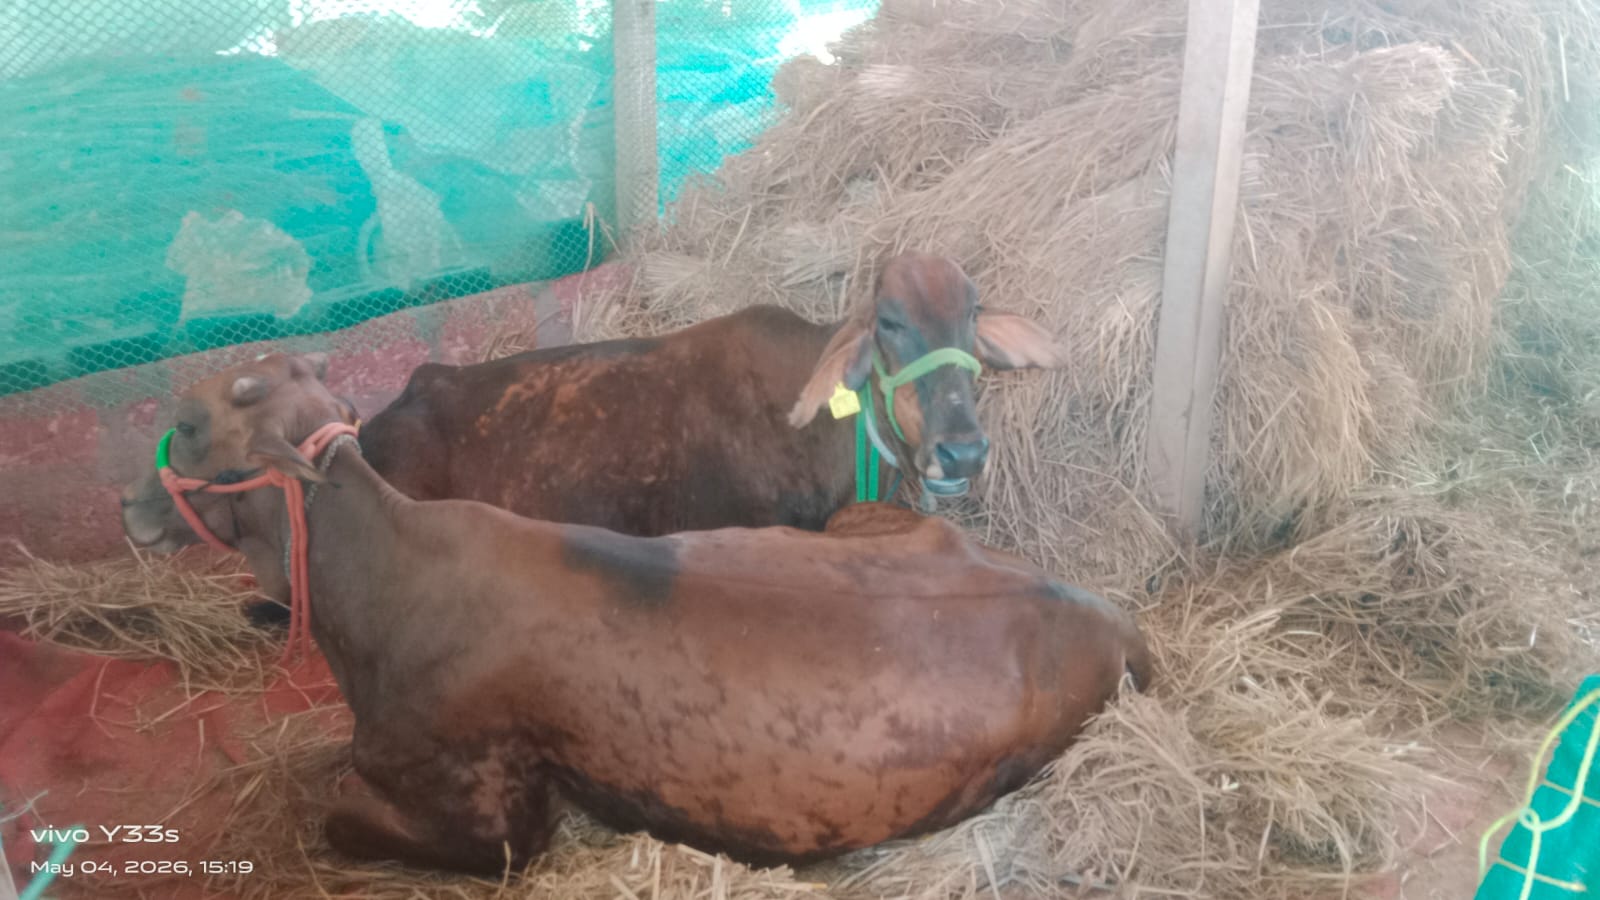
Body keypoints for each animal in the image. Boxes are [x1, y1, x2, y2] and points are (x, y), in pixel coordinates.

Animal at [117, 352, 1151, 875]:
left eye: (194, 425)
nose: (128, 505)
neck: (377, 582)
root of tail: (1107, 614)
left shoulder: (496, 819)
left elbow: (335, 814)